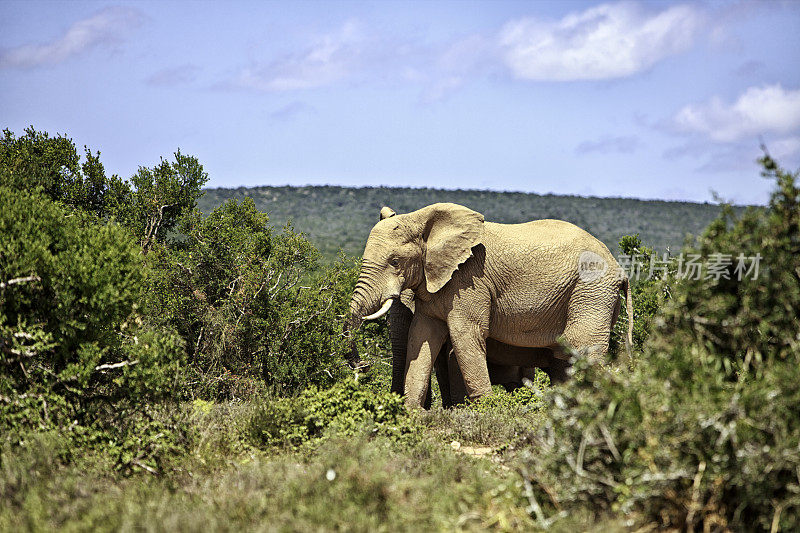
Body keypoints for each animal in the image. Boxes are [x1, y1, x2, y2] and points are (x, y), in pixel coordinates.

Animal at [346, 203, 636, 408]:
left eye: (395, 262)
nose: (364, 366)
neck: (425, 221)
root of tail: (620, 270)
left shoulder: (469, 281)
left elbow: (465, 334)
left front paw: (485, 411)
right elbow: (422, 335)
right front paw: (412, 414)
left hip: (592, 290)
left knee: (582, 345)